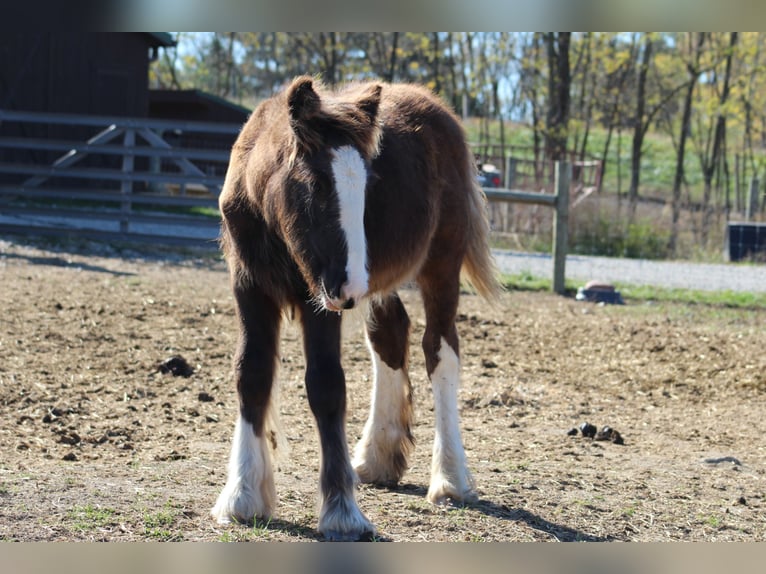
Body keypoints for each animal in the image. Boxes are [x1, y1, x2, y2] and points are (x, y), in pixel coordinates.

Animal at [212, 74, 504, 544]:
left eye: (367, 187)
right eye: (315, 185)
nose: (349, 289)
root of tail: (437, 108)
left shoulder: (318, 297)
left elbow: (326, 385)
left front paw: (342, 512)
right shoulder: (249, 285)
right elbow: (251, 373)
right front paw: (241, 496)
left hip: (439, 265)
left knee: (440, 352)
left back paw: (451, 479)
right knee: (390, 335)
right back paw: (377, 455)